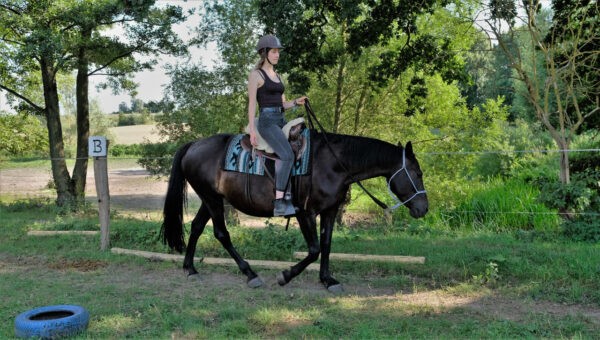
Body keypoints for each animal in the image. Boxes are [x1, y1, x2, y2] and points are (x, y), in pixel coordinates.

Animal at [162, 130, 428, 292]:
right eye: (417, 173)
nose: (423, 208)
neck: (332, 163)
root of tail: (193, 145)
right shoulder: (305, 213)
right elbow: (314, 249)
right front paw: (286, 275)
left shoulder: (330, 211)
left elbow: (326, 245)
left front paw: (327, 280)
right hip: (213, 200)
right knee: (221, 234)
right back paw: (250, 274)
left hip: (211, 199)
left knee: (197, 227)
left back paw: (191, 269)